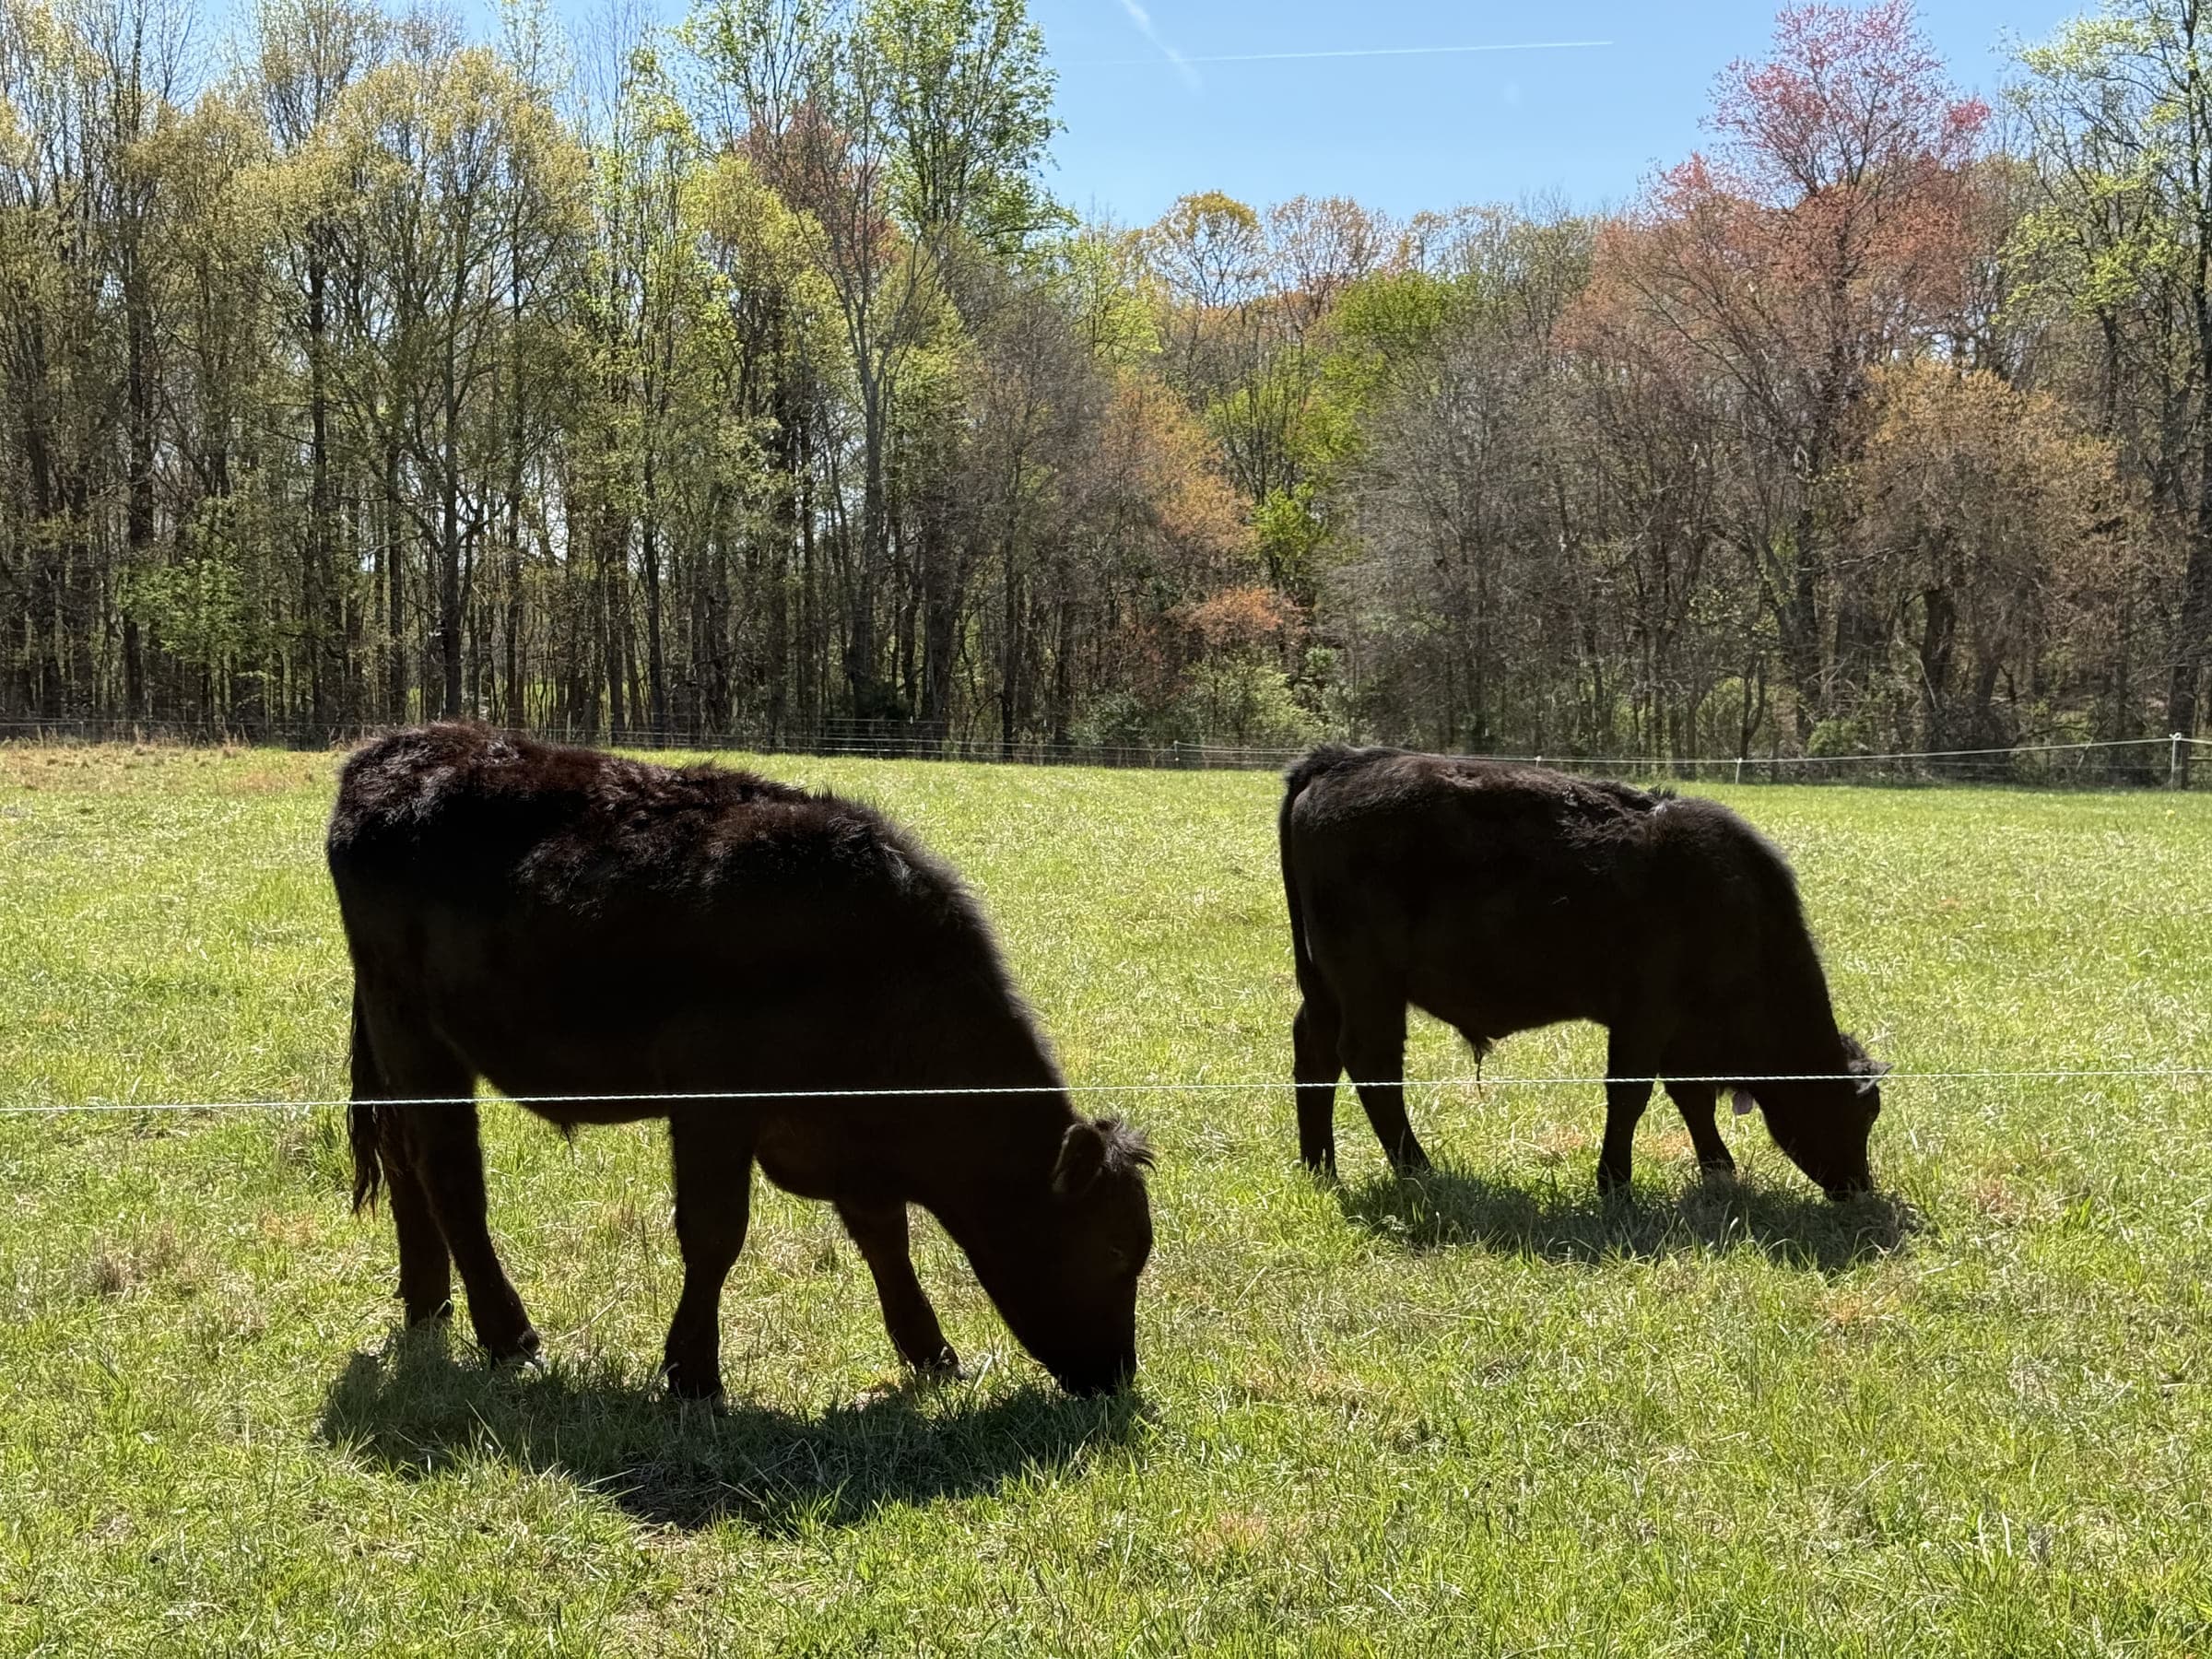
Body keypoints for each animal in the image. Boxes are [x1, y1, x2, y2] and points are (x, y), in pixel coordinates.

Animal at [327, 724, 1153, 1400]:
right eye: (1118, 1252)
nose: (1116, 1377)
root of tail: (398, 748)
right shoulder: (714, 1099)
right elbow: (715, 1232)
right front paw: (692, 1373)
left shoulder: (843, 1134)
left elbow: (883, 1232)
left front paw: (930, 1353)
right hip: (416, 1031)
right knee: (448, 1175)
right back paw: (507, 1335)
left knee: (402, 1159)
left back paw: (427, 1303)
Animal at [1278, 745, 1885, 1200]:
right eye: (1862, 1112)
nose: (1859, 1188)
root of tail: (1337, 762)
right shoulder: (1645, 1014)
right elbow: (1631, 1094)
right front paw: (1615, 1182)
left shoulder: (1680, 1033)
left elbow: (1690, 1096)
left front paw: (1717, 1170)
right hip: (1369, 985)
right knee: (1371, 1063)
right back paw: (1417, 1169)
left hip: (1327, 985)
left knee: (1317, 1054)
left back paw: (1321, 1167)